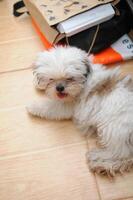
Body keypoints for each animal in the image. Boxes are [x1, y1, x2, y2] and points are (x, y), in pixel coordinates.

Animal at [27, 45, 133, 177]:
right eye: (51, 79)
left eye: (70, 78)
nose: (59, 88)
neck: (84, 82)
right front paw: (38, 84)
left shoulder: (67, 105)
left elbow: (50, 107)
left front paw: (33, 106)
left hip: (114, 127)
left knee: (122, 153)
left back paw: (100, 160)